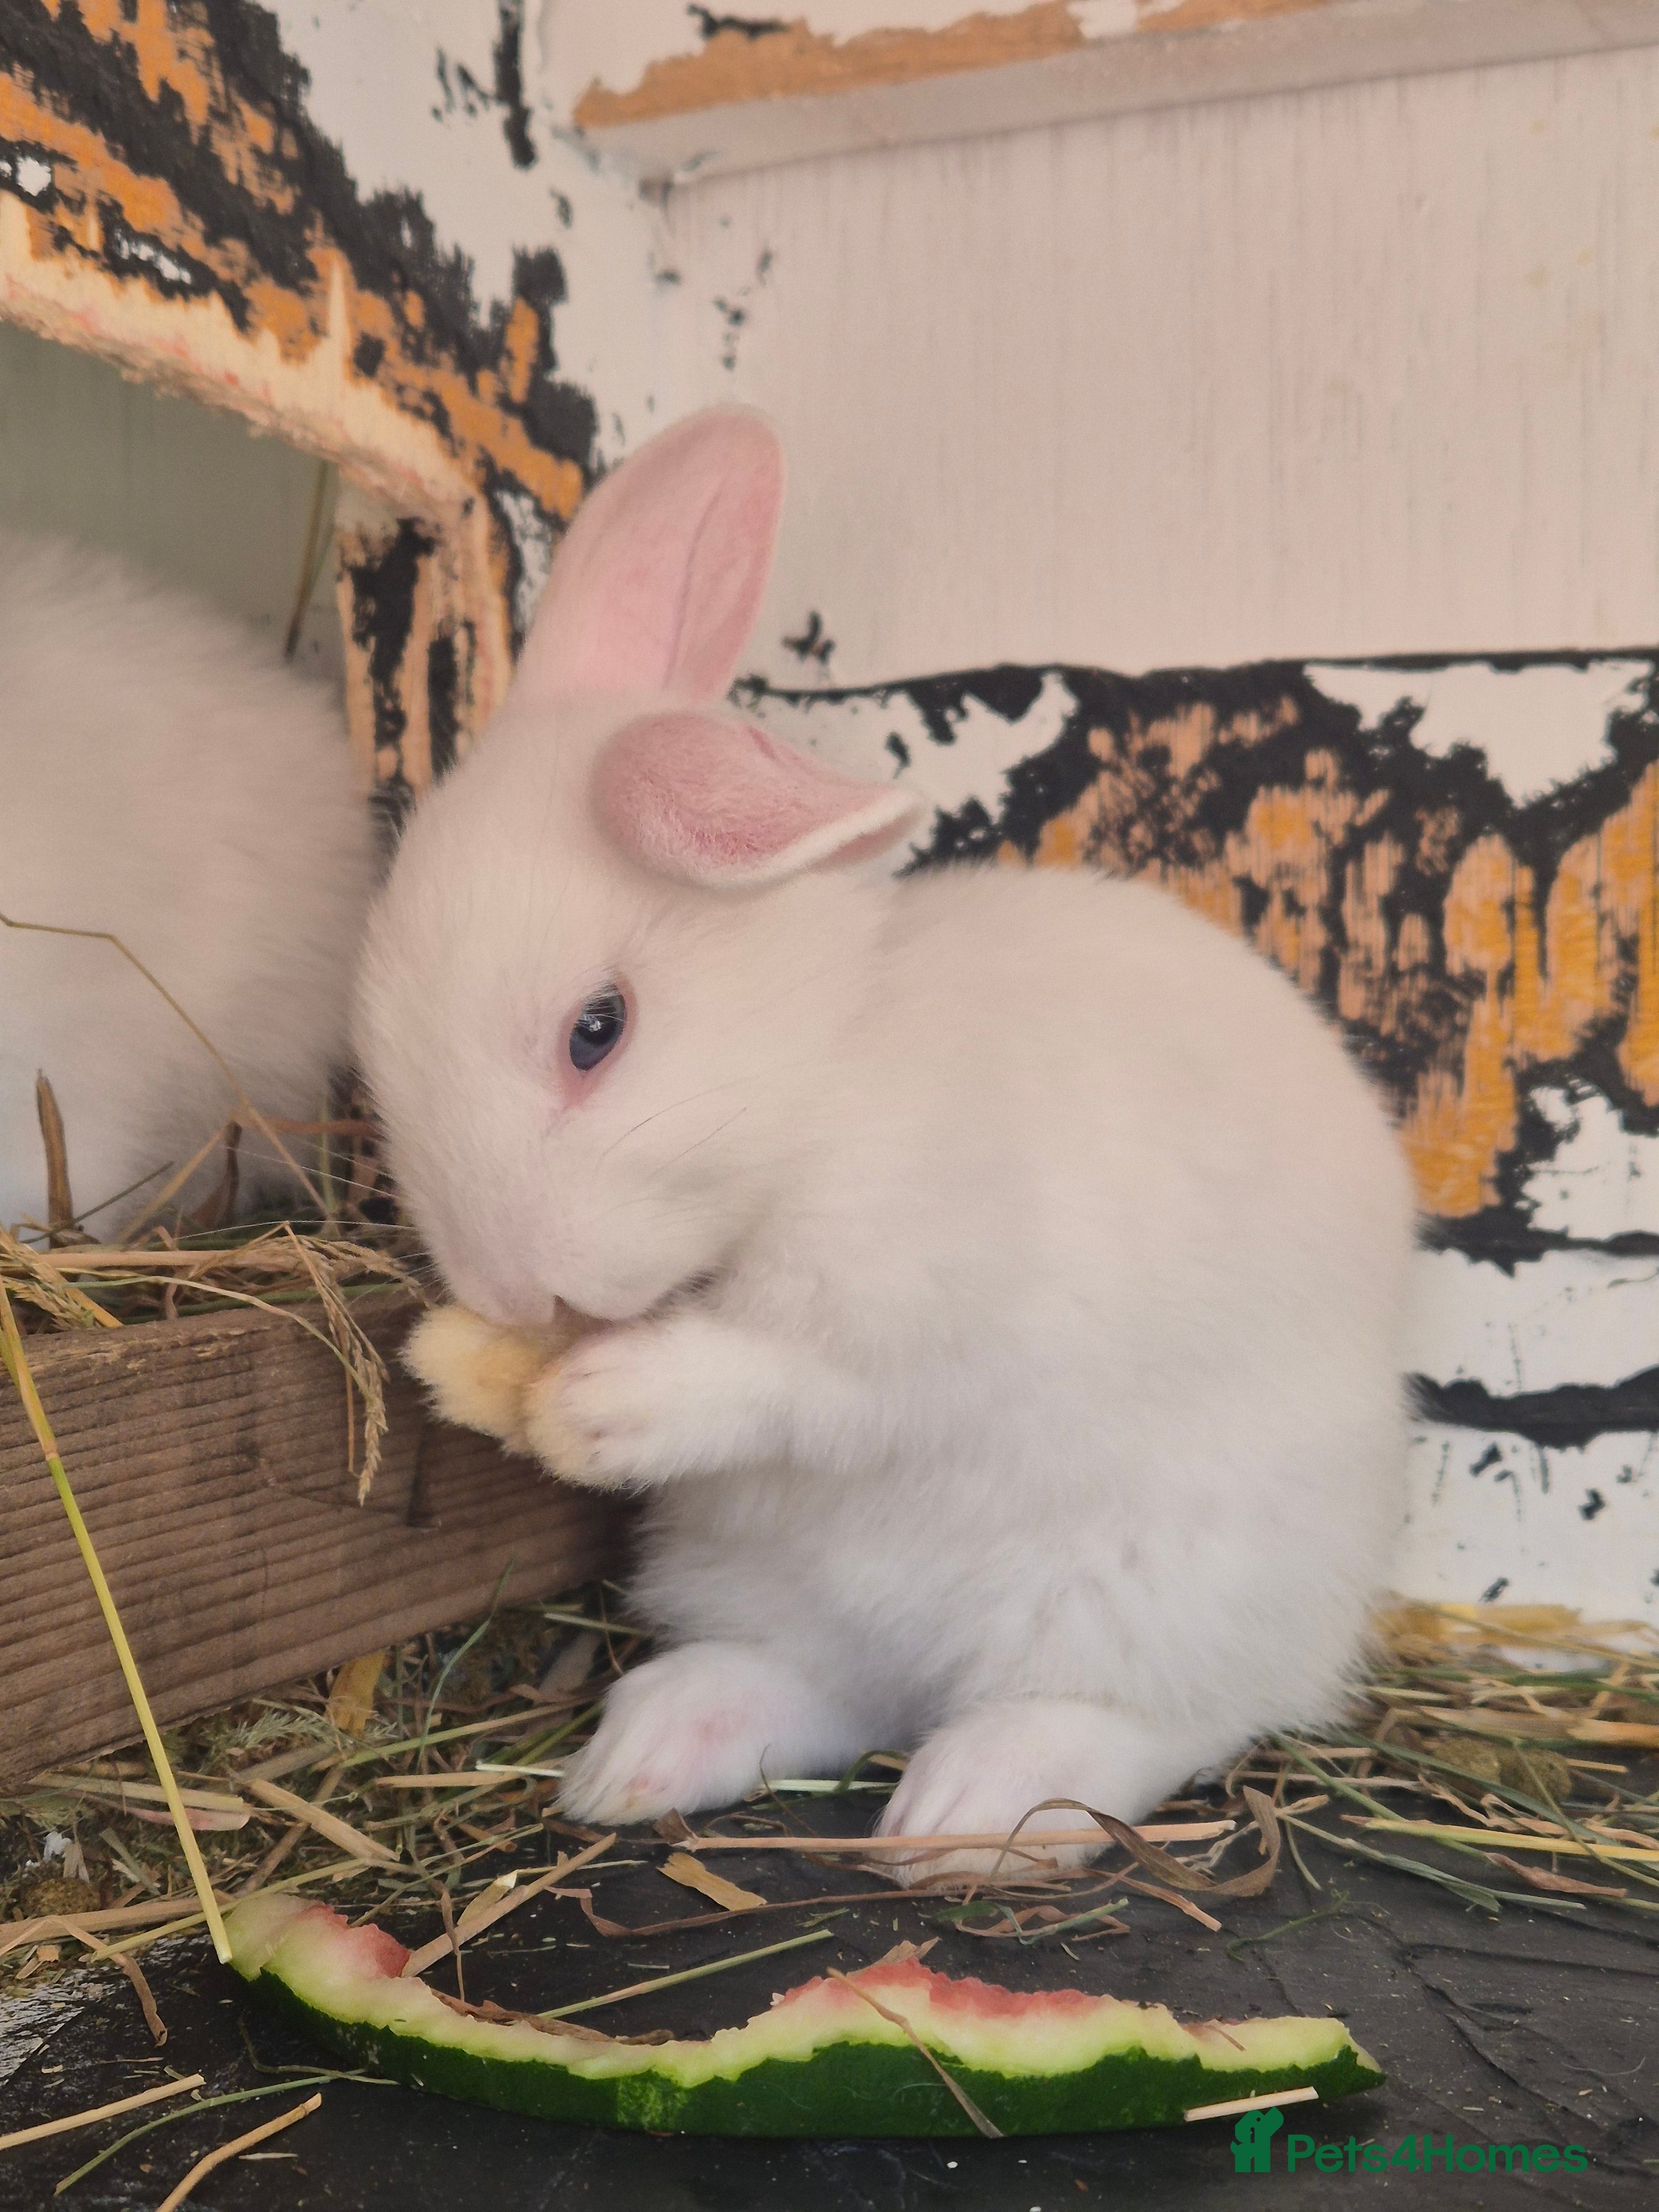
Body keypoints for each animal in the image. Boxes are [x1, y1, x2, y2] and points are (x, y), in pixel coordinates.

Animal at [357, 406, 1415, 1877]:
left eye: (597, 1030)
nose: (514, 1290)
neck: (821, 1094)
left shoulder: (918, 1326)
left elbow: (791, 1381)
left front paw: (606, 1404)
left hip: (1163, 1596)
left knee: (1154, 1720)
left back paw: (966, 1813)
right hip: (768, 1583)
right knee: (824, 1685)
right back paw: (644, 1751)